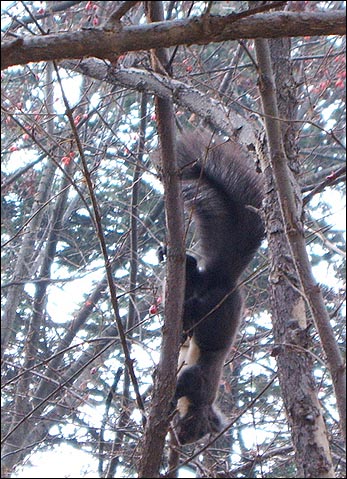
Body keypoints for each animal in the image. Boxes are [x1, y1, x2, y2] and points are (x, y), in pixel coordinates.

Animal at [158, 130, 264, 446]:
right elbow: (185, 381)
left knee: (191, 279)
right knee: (196, 303)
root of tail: (223, 280)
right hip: (213, 306)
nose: (181, 440)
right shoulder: (199, 380)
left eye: (196, 432)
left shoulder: (198, 380)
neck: (202, 403)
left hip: (206, 298)